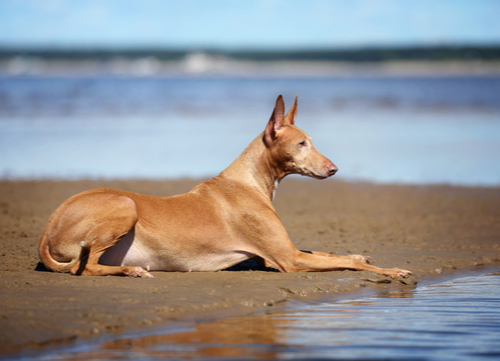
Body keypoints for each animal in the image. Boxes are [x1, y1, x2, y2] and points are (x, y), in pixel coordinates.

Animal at [39, 95, 412, 278]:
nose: (334, 169)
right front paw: (390, 270)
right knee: (85, 267)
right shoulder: (287, 260)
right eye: (302, 143)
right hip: (125, 206)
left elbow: (330, 253)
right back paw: (131, 270)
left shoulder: (284, 253)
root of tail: (48, 226)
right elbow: (351, 264)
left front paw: (358, 252)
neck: (248, 182)